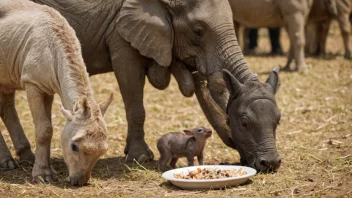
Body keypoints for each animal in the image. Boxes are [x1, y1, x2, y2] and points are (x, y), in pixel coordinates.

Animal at [28, 0, 284, 172]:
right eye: (198, 31)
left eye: (277, 121)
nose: (269, 164)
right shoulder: (121, 29)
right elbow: (130, 81)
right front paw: (140, 158)